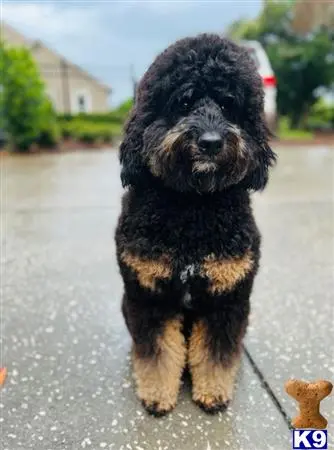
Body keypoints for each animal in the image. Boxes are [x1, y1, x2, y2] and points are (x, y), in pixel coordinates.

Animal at [115, 33, 276, 416]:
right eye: (184, 101)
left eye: (229, 106)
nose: (211, 143)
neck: (192, 207)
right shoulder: (150, 297)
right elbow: (157, 351)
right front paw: (157, 394)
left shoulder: (226, 299)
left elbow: (216, 352)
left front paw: (213, 392)